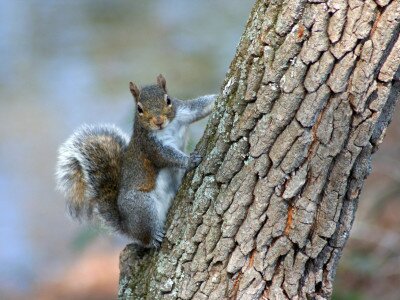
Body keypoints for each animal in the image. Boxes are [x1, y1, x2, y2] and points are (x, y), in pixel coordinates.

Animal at [55, 75, 217, 248]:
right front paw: (189, 160)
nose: (158, 121)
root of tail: (127, 226)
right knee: (145, 236)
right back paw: (153, 237)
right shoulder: (150, 145)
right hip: (141, 206)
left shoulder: (182, 111)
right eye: (139, 109)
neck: (166, 128)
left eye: (168, 100)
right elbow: (167, 156)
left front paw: (219, 96)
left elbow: (200, 106)